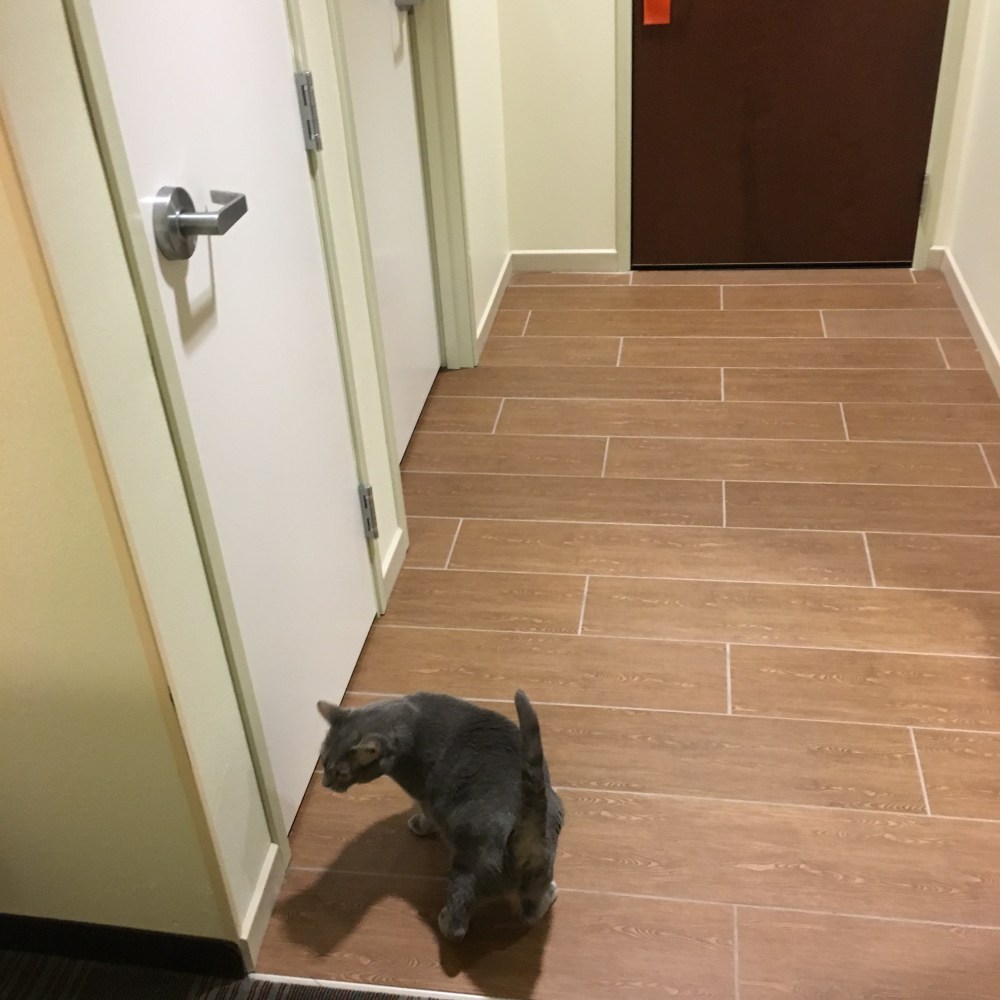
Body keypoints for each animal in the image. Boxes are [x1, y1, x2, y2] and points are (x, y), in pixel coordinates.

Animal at [316, 689, 564, 942]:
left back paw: (444, 919)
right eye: (323, 761)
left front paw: (418, 824)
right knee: (530, 912)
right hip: (539, 871)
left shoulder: (425, 797)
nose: (325, 782)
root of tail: (523, 838)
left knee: (457, 926)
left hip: (467, 871)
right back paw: (551, 893)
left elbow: (427, 815)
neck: (411, 720)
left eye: (341, 773)